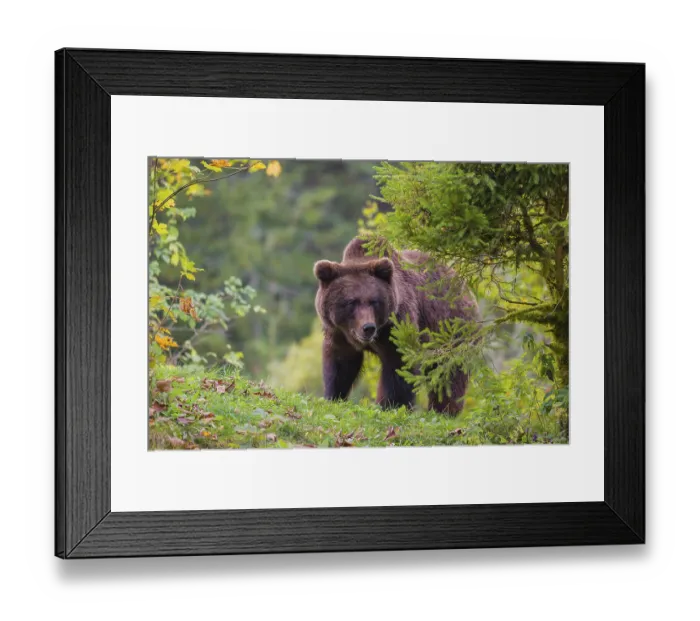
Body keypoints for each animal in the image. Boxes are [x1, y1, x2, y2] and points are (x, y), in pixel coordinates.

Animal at [313, 237, 480, 415]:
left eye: (374, 301)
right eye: (351, 302)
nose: (368, 327)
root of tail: (465, 287)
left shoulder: (398, 326)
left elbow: (399, 365)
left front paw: (390, 405)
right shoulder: (339, 333)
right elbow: (340, 365)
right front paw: (333, 397)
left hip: (452, 330)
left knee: (448, 374)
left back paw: (444, 411)